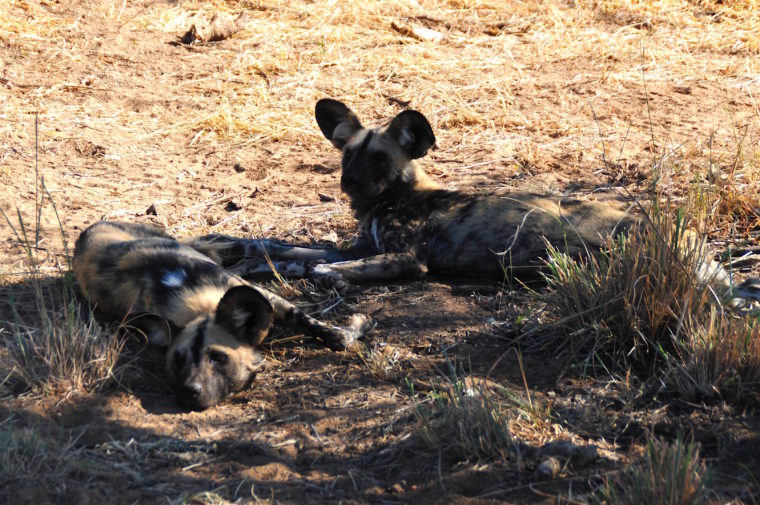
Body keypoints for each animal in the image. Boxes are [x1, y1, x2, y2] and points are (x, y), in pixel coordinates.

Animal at [70, 220, 372, 410]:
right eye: (178, 360)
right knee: (250, 260)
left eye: (218, 358)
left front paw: (355, 327)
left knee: (259, 248)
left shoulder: (270, 301)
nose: (190, 391)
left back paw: (321, 262)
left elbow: (325, 331)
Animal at [197, 98, 760, 304]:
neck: (390, 202)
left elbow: (324, 268)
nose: (350, 184)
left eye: (379, 159)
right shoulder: (358, 247)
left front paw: (311, 274)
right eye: (348, 155)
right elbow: (285, 249)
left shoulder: (404, 259)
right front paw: (237, 252)